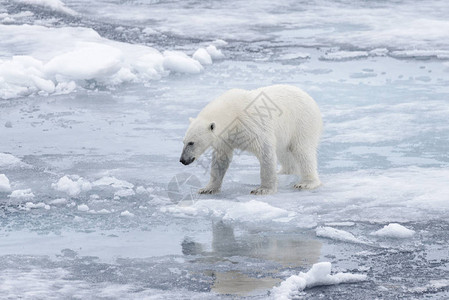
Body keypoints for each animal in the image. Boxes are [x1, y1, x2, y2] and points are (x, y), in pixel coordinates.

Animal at [178, 84, 322, 195]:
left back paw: (306, 183)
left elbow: (265, 151)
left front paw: (263, 189)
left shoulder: (251, 125)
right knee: (284, 152)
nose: (183, 160)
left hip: (302, 122)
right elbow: (221, 160)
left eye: (191, 143)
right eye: (184, 141)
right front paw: (208, 189)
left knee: (302, 151)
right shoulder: (225, 139)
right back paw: (284, 173)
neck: (232, 113)